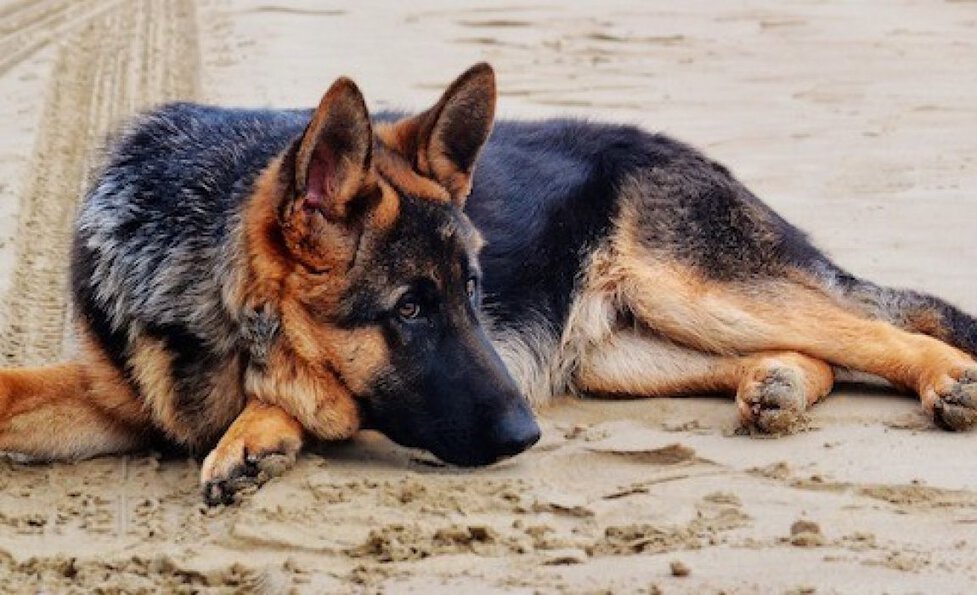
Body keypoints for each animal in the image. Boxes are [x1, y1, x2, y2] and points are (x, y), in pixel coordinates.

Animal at [1, 64, 976, 502]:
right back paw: (777, 384)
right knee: (815, 353)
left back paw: (947, 380)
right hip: (622, 355)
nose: (525, 437)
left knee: (879, 330)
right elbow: (16, 390)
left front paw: (260, 428)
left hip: (695, 291)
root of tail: (680, 148)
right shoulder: (106, 394)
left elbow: (308, 393)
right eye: (408, 307)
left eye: (472, 292)